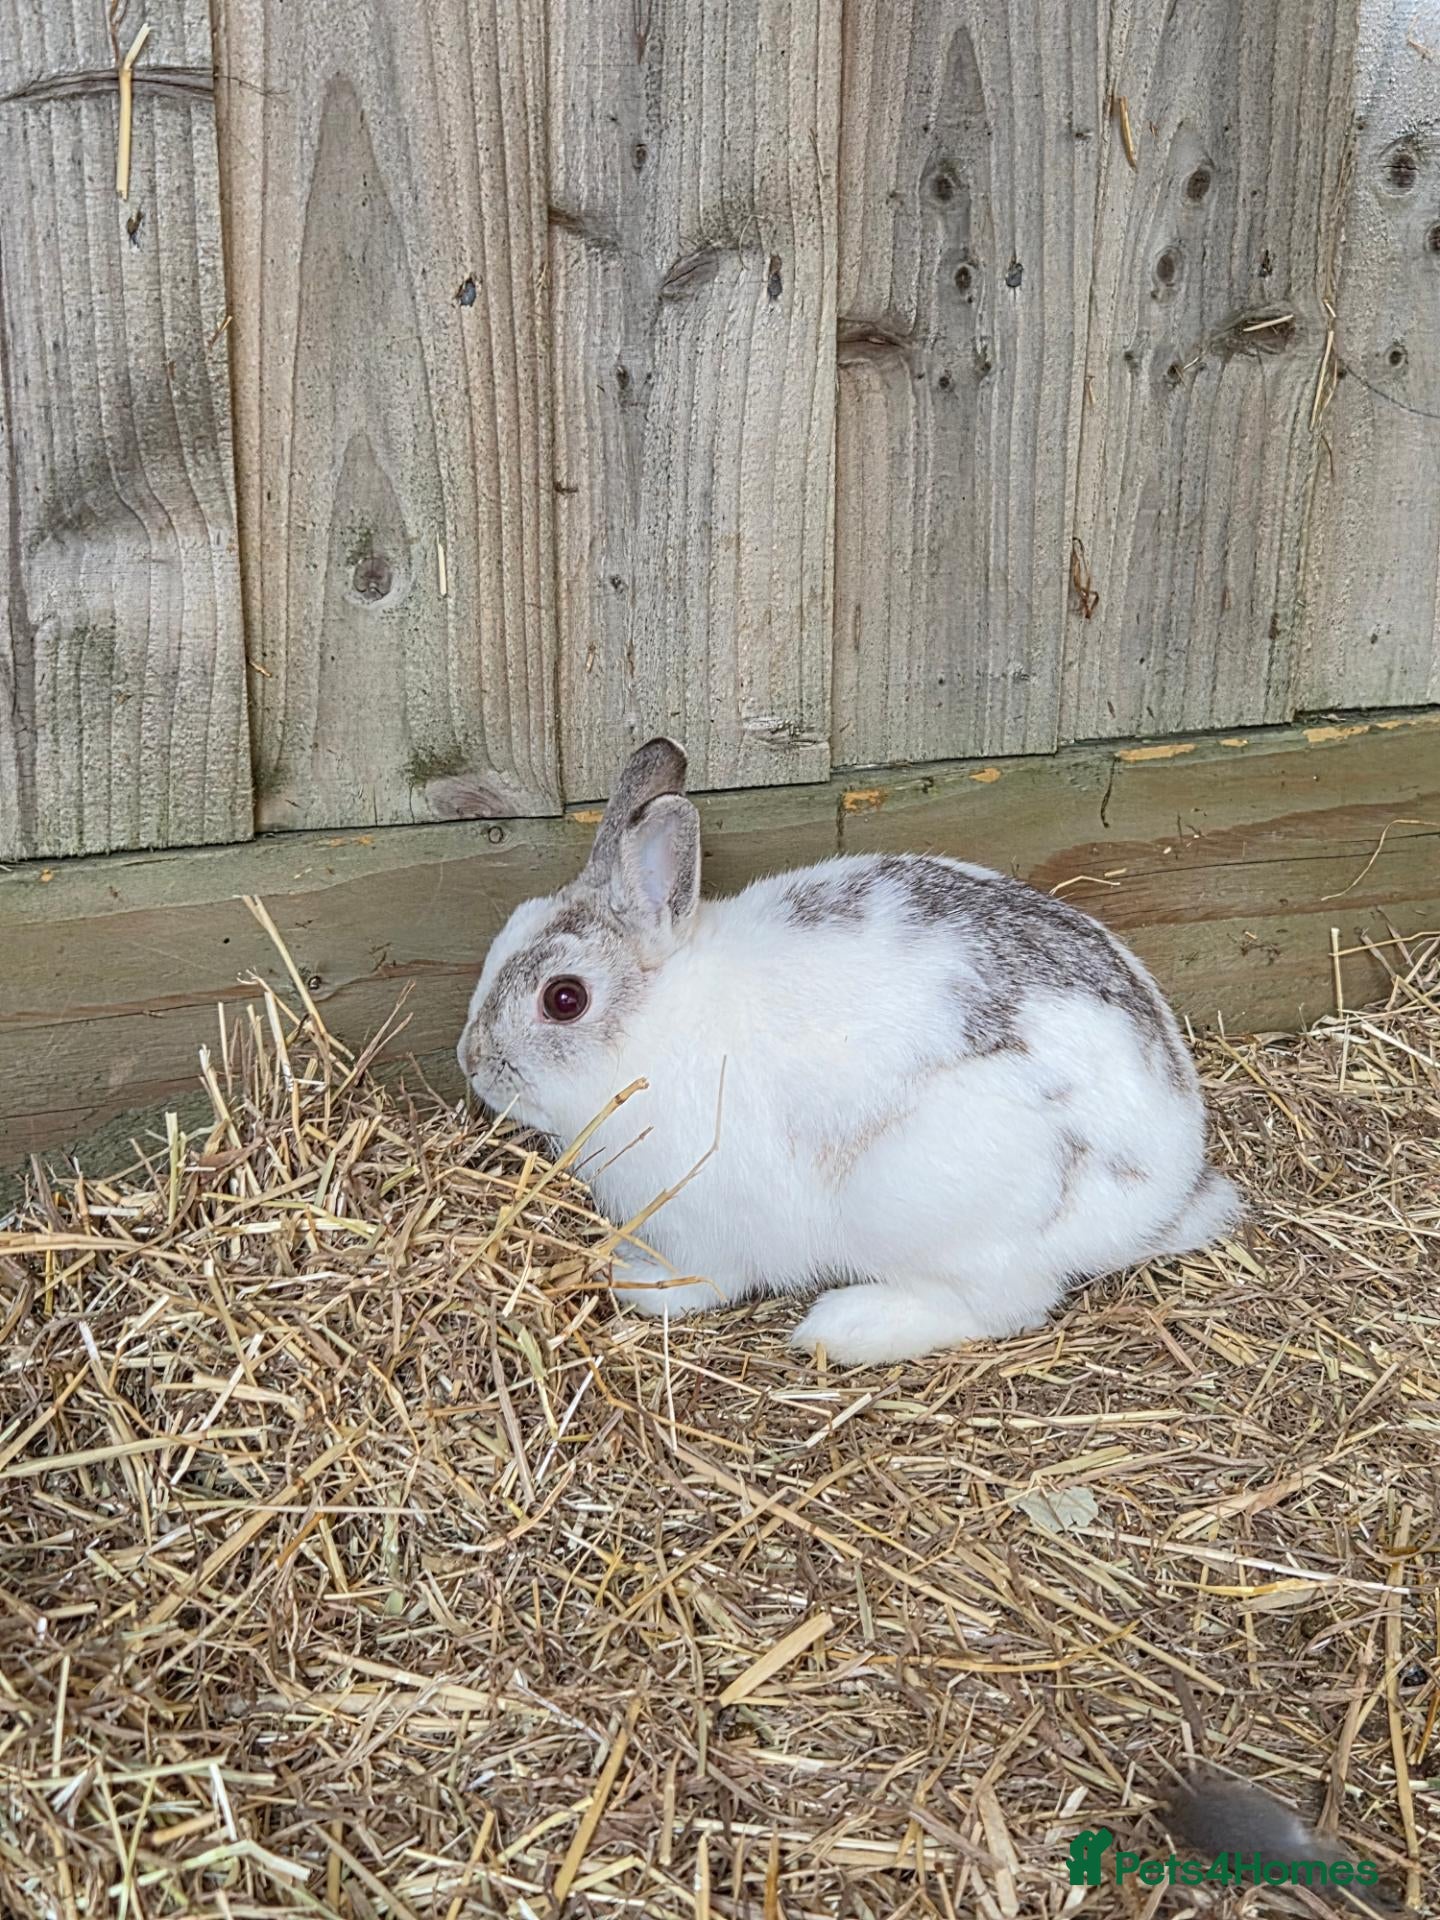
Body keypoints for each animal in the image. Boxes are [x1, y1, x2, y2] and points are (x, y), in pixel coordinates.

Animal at [457, 737, 1240, 1365]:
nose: (473, 1063)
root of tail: (1169, 1186)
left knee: (1004, 1307)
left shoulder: (705, 1224)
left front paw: (633, 1282)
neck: (656, 1023)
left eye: (564, 999)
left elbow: (704, 1280)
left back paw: (846, 1326)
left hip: (932, 1207)